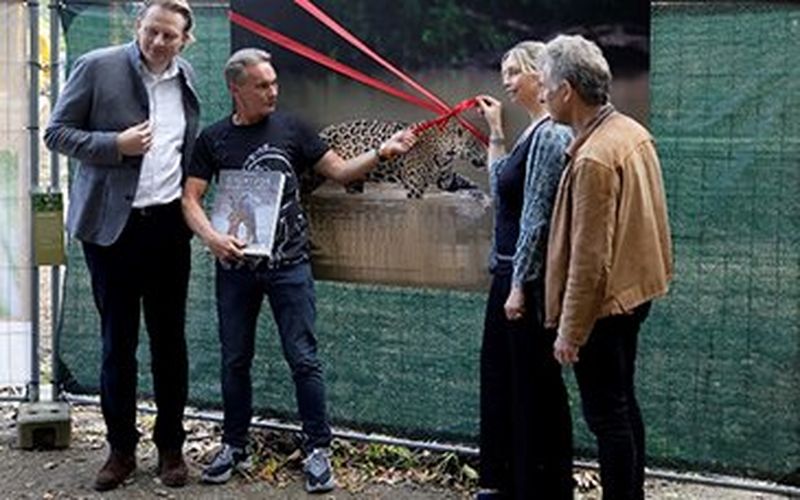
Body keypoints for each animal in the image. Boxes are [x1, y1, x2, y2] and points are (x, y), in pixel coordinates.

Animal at [304, 117, 488, 197]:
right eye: (478, 144)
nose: (487, 158)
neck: (446, 153)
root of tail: (322, 133)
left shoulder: (446, 180)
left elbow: (462, 181)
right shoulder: (415, 187)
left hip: (351, 179)